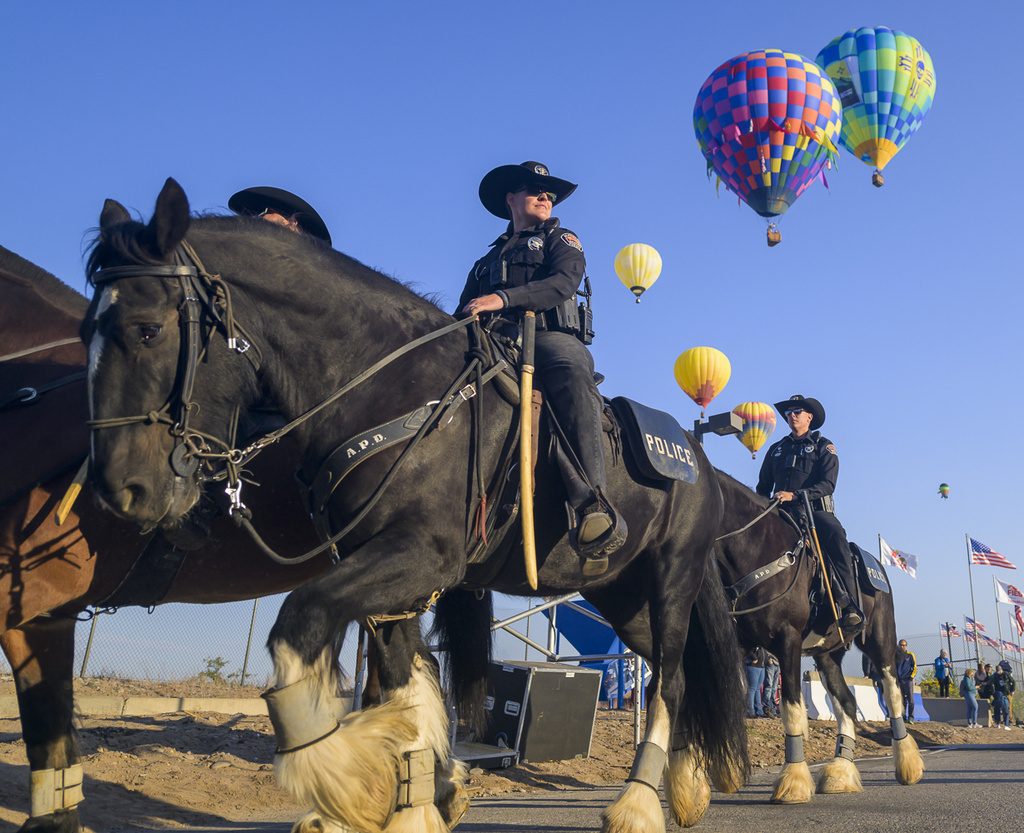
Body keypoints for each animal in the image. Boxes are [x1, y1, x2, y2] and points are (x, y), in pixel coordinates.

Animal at [81, 180, 753, 831]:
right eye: (88, 331)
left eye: (147, 329)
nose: (122, 487)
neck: (390, 388)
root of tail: (701, 464)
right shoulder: (385, 569)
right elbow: (403, 684)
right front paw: (417, 798)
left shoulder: (422, 556)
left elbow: (302, 623)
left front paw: (343, 784)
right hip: (623, 595)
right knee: (680, 673)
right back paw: (687, 786)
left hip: (671, 578)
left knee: (671, 681)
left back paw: (638, 804)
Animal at [716, 467, 925, 799]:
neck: (758, 550)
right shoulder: (740, 645)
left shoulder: (787, 640)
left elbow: (792, 708)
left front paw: (793, 780)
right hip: (827, 656)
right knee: (848, 705)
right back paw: (841, 770)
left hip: (881, 643)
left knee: (893, 696)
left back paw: (908, 764)